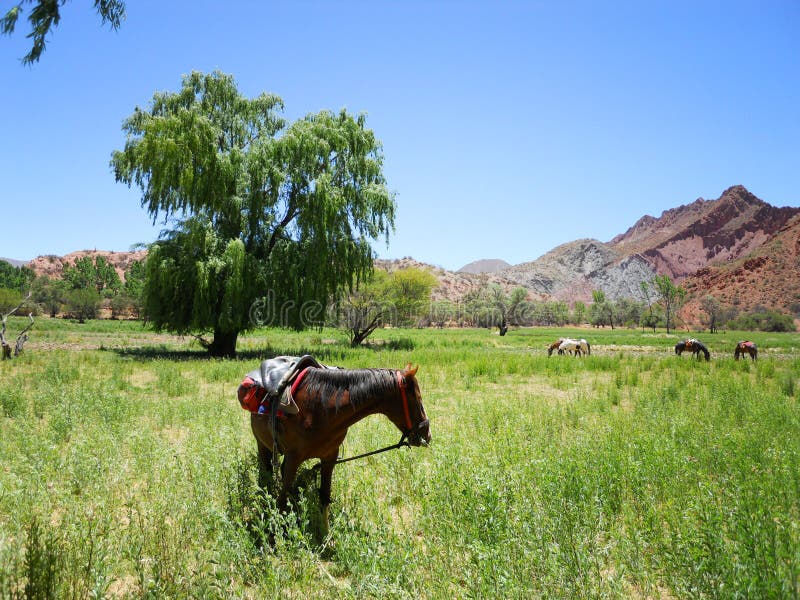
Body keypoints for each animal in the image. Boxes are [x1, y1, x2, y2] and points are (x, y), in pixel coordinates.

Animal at [252, 364, 432, 532]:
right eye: (417, 398)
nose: (427, 434)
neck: (320, 410)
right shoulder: (293, 459)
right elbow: (283, 499)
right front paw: (277, 534)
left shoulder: (329, 458)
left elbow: (324, 497)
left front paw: (326, 535)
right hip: (262, 445)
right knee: (266, 473)